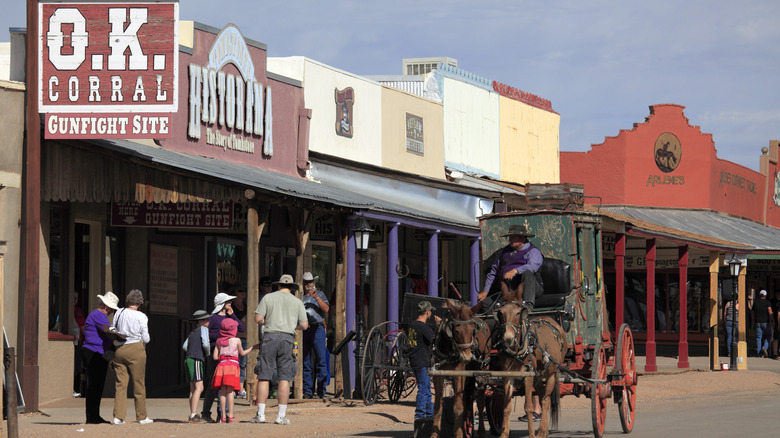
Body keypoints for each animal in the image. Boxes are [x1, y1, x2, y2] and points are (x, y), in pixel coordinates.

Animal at [430, 300, 490, 438]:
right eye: (456, 331)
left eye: (473, 330)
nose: (466, 357)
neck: (448, 348)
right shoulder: (438, 375)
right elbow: (438, 407)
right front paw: (434, 434)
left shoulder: (458, 374)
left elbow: (458, 407)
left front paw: (458, 434)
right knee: (467, 401)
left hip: (482, 373)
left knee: (480, 401)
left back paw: (481, 431)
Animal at [496, 298, 568, 438]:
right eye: (501, 313)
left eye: (518, 313)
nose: (508, 338)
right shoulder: (508, 376)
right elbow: (506, 407)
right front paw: (504, 434)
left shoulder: (528, 376)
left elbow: (528, 407)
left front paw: (531, 434)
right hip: (539, 377)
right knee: (541, 399)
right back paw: (543, 430)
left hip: (552, 374)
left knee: (545, 401)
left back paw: (541, 431)